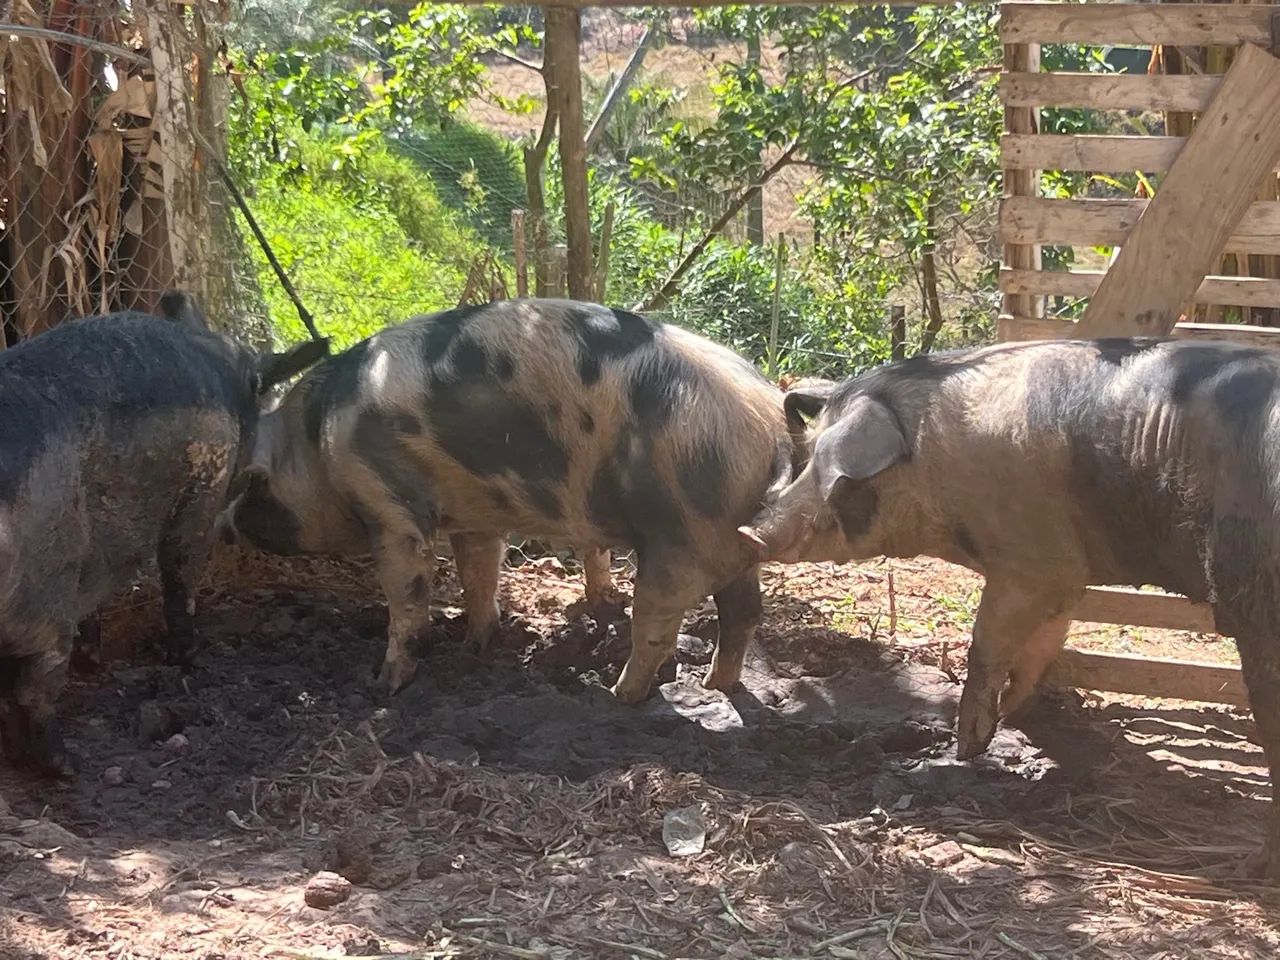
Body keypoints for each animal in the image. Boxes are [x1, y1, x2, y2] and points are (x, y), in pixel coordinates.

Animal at [0, 292, 325, 776]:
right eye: (260, 397)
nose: (255, 477)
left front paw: (93, 661)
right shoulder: (203, 488)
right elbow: (179, 573)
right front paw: (189, 659)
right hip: (42, 596)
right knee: (32, 687)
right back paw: (66, 766)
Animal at [220, 298, 793, 701]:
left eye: (255, 485)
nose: (226, 527)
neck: (318, 441)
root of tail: (770, 419)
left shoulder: (390, 502)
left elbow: (407, 595)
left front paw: (384, 685)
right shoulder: (475, 515)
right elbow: (479, 574)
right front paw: (476, 645)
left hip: (682, 533)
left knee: (658, 624)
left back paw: (616, 696)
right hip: (733, 537)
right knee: (744, 612)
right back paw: (715, 687)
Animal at [738, 337, 1280, 877]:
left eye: (836, 476)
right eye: (806, 456)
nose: (750, 531)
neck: (937, 464)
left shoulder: (1029, 562)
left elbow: (987, 642)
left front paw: (968, 747)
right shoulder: (1065, 571)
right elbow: (1042, 643)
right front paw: (1016, 711)